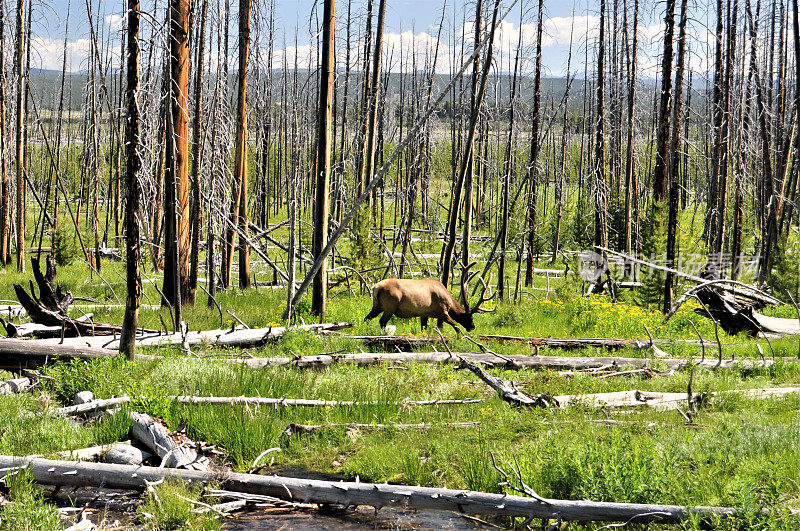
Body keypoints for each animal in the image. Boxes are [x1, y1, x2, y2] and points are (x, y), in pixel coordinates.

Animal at [364, 262, 494, 332]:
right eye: (469, 317)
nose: (472, 327)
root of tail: (375, 287)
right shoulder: (442, 312)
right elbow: (456, 326)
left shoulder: (424, 313)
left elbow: (423, 328)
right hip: (390, 307)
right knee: (381, 321)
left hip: (377, 306)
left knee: (367, 318)